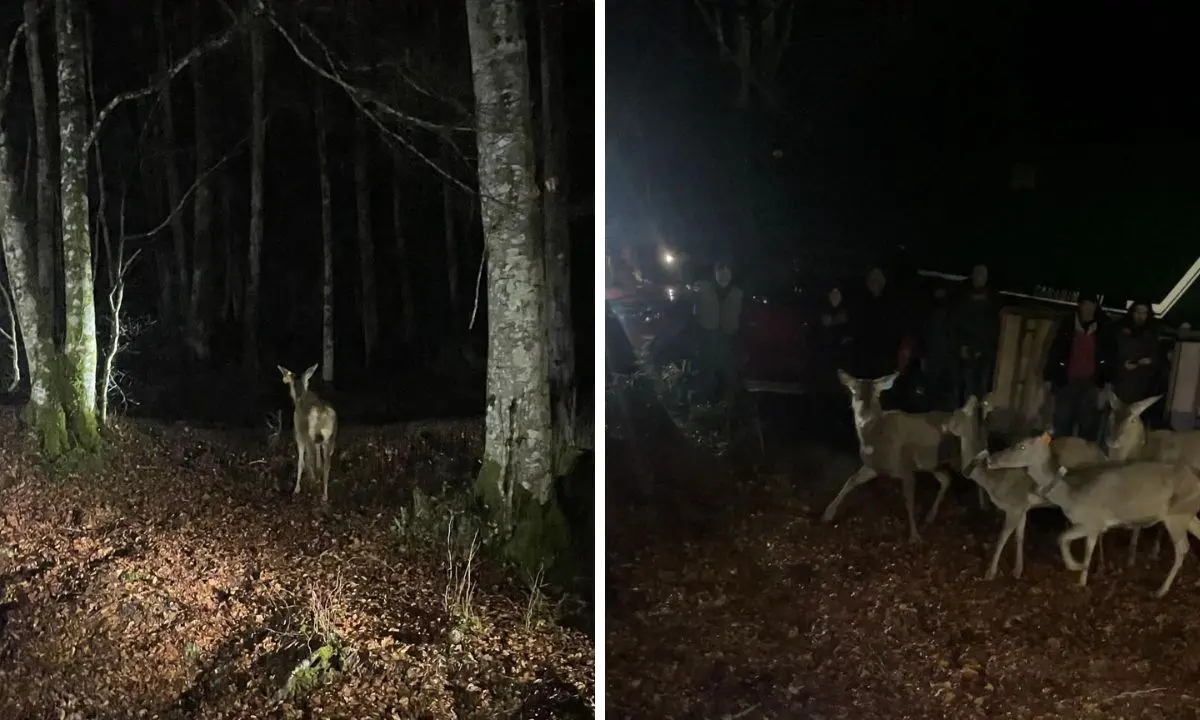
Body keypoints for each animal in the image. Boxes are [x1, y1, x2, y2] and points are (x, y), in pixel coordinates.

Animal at [277, 362, 338, 504]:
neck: (299, 397)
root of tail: (323, 414)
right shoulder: (318, 440)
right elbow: (318, 457)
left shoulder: (299, 434)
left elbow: (301, 461)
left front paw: (296, 488)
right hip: (330, 438)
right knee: (327, 465)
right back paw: (324, 494)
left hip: (309, 436)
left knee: (309, 459)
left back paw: (313, 484)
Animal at [820, 369, 950, 542]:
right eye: (855, 392)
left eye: (877, 395)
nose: (865, 415)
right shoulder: (874, 466)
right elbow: (852, 480)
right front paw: (827, 514)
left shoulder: (905, 468)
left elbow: (908, 501)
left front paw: (914, 536)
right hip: (931, 464)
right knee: (946, 478)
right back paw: (930, 517)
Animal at [988, 427, 1200, 595]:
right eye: (1015, 442)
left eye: (1022, 447)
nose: (992, 459)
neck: (1070, 495)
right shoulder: (1091, 524)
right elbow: (1067, 539)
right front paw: (1078, 569)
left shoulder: (1093, 521)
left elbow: (1078, 545)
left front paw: (1080, 575)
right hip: (1188, 514)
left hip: (1176, 515)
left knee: (1183, 547)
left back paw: (1161, 590)